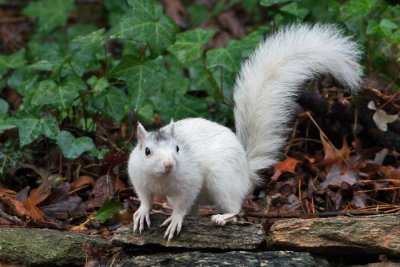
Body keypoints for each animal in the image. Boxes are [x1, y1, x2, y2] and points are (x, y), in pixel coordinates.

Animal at [128, 23, 362, 241]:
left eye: (177, 148)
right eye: (147, 151)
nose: (169, 165)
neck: (161, 178)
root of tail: (245, 171)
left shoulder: (189, 182)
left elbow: (182, 203)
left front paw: (175, 219)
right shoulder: (139, 177)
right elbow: (145, 198)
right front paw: (142, 213)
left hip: (221, 179)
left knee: (235, 208)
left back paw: (222, 217)